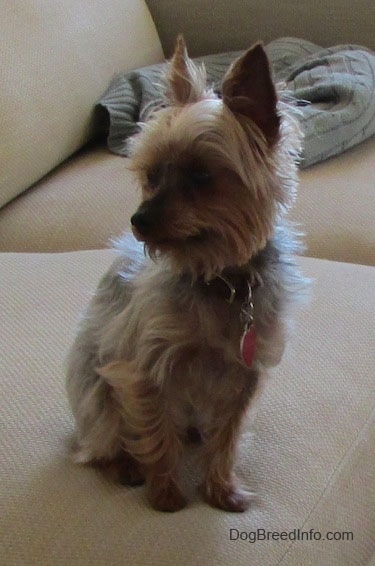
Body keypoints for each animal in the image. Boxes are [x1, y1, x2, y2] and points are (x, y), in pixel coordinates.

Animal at [66, 36, 306, 516]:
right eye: (152, 175)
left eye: (201, 175)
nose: (138, 220)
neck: (222, 280)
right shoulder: (143, 368)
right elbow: (157, 432)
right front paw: (166, 494)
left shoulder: (244, 375)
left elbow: (227, 437)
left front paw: (221, 489)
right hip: (97, 397)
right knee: (99, 444)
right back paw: (123, 465)